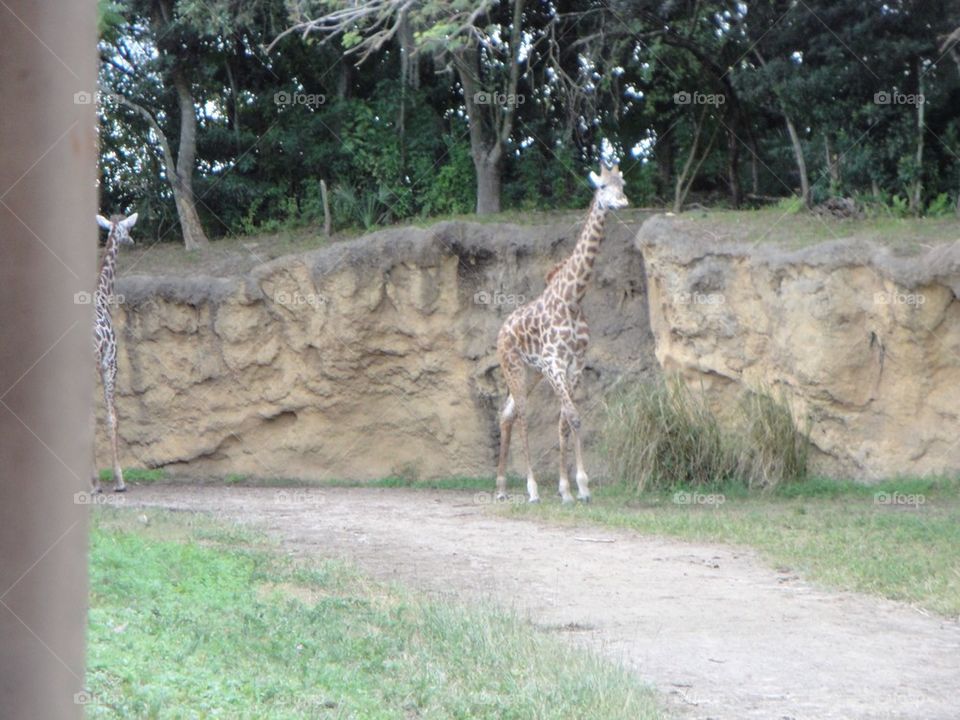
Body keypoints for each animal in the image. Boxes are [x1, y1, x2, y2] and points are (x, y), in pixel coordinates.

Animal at [495, 163, 628, 503]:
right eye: (603, 186)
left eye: (622, 184)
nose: (622, 202)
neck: (573, 298)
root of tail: (501, 332)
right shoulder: (554, 362)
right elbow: (573, 416)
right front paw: (581, 487)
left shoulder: (574, 364)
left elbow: (566, 420)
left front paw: (568, 489)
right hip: (514, 366)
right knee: (522, 415)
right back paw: (530, 489)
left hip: (532, 372)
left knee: (506, 413)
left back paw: (500, 487)